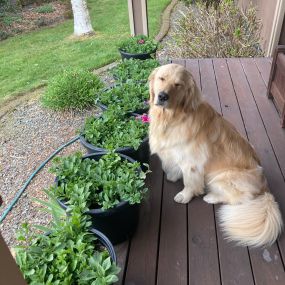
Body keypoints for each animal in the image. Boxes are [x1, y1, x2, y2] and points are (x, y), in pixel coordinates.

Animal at [149, 63, 282, 245]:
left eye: (178, 85)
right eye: (161, 78)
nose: (162, 96)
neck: (173, 118)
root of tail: (265, 189)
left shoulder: (192, 164)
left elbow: (190, 183)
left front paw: (184, 196)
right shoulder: (178, 153)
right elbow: (177, 166)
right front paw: (174, 176)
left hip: (222, 177)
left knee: (239, 198)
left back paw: (211, 197)